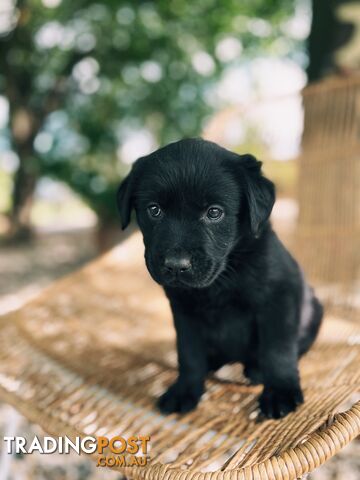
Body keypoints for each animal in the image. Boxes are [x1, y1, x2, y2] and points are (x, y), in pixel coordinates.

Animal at [116, 137, 322, 418]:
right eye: (154, 210)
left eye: (214, 212)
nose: (176, 266)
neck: (222, 278)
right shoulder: (183, 310)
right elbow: (189, 353)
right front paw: (185, 390)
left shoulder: (280, 296)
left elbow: (278, 348)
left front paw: (280, 391)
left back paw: (257, 370)